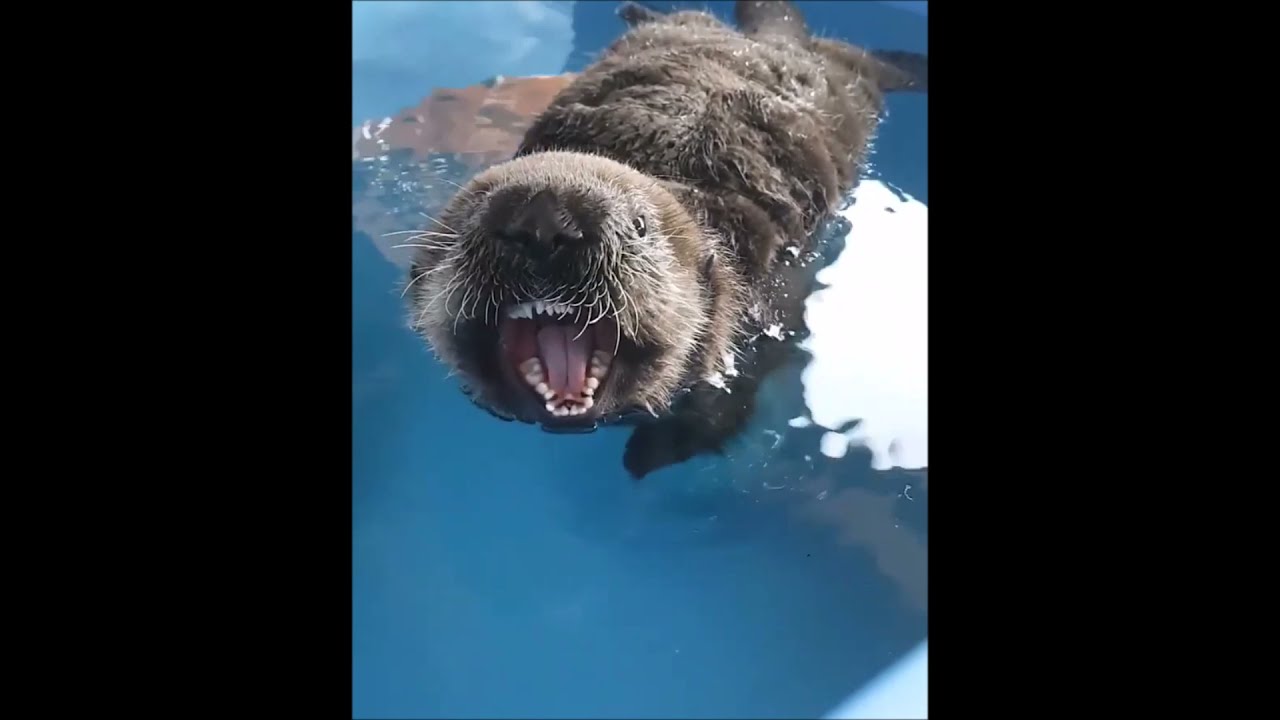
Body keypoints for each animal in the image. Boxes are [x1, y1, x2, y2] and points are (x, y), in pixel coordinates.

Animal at [406, 0, 926, 479]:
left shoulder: (762, 324)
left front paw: (648, 454)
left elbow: (723, 408)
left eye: (640, 224)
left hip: (849, 79)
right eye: (474, 213)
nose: (543, 218)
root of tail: (775, 42)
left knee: (857, 57)